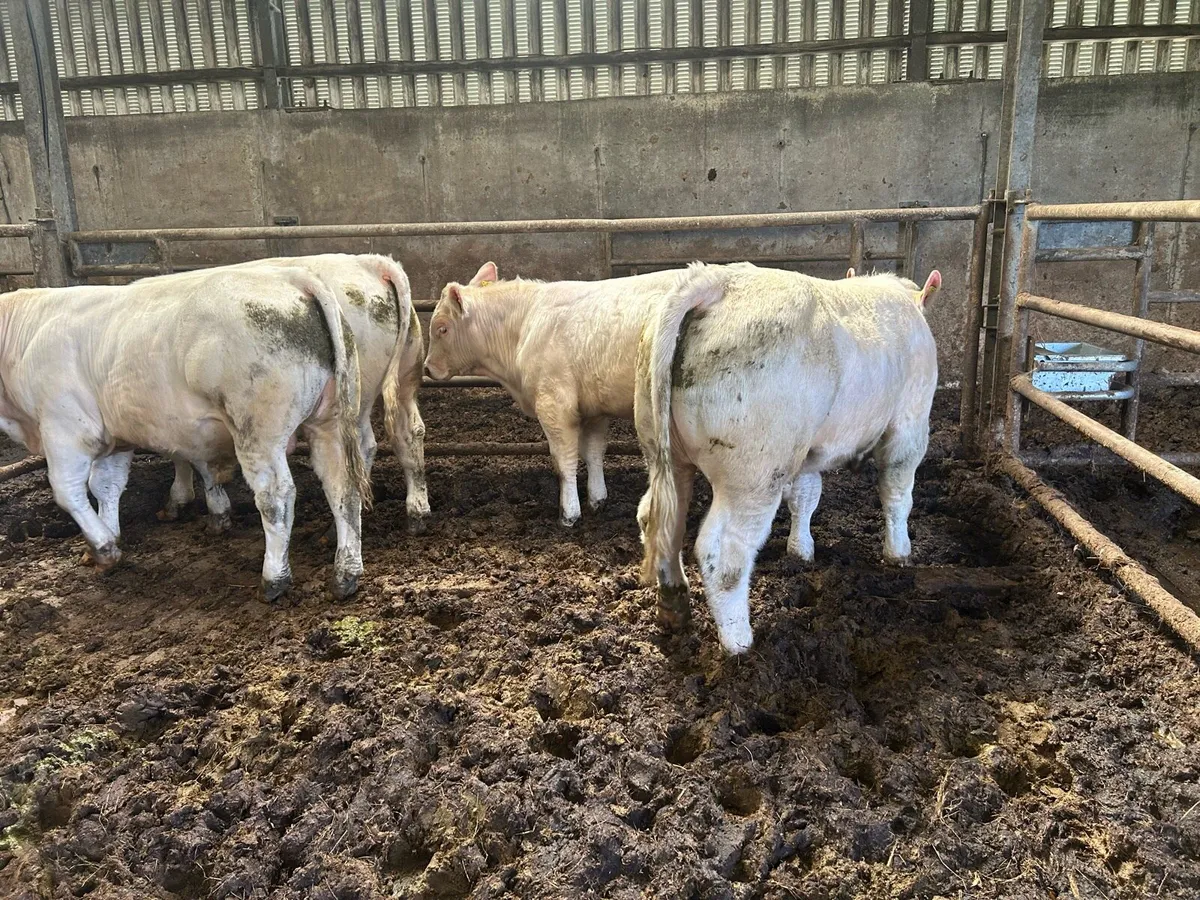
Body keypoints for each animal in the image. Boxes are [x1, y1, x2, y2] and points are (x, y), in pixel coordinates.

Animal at [0, 266, 370, 600]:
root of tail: (292, 277)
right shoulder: (115, 438)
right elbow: (106, 486)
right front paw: (110, 539)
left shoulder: (64, 428)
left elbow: (67, 491)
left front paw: (102, 546)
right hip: (330, 423)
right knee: (342, 486)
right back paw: (345, 574)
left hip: (257, 431)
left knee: (275, 497)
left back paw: (273, 580)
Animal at [162, 254, 430, 534]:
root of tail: (374, 263)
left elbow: (186, 455)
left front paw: (181, 501)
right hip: (405, 375)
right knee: (408, 432)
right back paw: (416, 513)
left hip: (357, 392)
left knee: (364, 446)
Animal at [635, 262, 942, 654]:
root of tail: (717, 281)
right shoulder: (910, 422)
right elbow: (897, 493)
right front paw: (899, 552)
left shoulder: (807, 451)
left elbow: (806, 496)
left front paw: (801, 551)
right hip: (755, 471)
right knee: (722, 552)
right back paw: (740, 642)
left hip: (665, 454)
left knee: (661, 522)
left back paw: (673, 607)